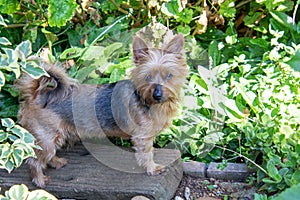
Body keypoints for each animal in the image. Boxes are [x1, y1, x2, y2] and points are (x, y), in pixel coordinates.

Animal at [16, 34, 188, 188]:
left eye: (169, 76)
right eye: (147, 77)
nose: (157, 94)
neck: (148, 101)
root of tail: (38, 94)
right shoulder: (142, 137)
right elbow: (145, 153)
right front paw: (152, 168)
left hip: (53, 137)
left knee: (48, 155)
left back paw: (57, 162)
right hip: (45, 138)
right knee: (35, 160)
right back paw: (39, 180)